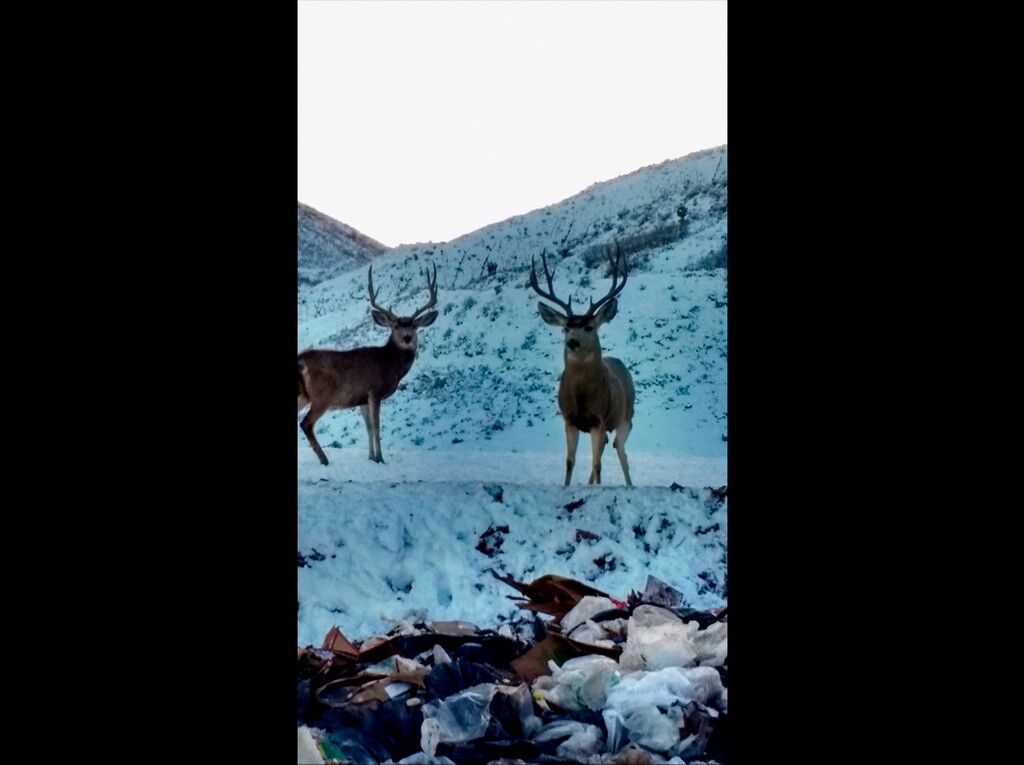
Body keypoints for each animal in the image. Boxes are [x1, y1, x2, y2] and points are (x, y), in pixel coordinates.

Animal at [297, 264, 438, 466]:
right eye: (395, 326)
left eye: (414, 326)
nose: (407, 338)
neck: (390, 363)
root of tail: (300, 361)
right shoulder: (375, 391)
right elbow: (377, 427)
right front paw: (381, 458)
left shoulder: (362, 398)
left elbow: (369, 428)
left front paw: (371, 457)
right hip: (322, 396)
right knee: (306, 423)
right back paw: (324, 459)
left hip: (302, 395)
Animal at [530, 244, 635, 486]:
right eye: (566, 328)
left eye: (588, 327)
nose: (572, 342)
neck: (582, 398)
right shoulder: (569, 419)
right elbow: (570, 461)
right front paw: (568, 486)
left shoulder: (599, 418)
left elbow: (597, 464)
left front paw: (598, 487)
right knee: (606, 447)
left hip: (626, 416)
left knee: (620, 449)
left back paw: (629, 484)